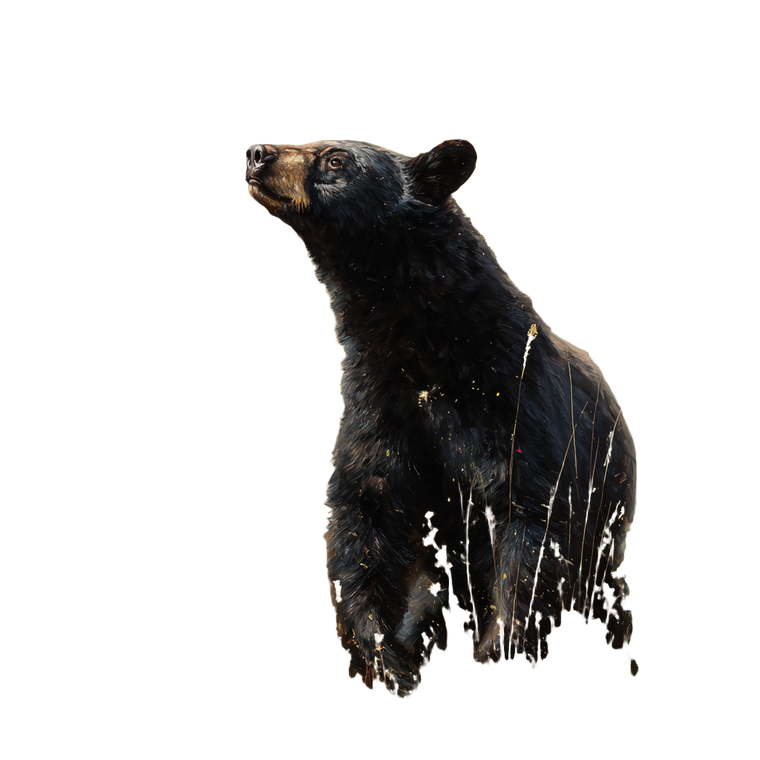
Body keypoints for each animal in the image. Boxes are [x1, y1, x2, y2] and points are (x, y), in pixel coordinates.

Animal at [243, 137, 640, 701]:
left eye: (336, 159)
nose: (257, 152)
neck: (424, 348)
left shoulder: (518, 408)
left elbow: (533, 530)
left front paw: (500, 651)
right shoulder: (380, 407)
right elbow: (362, 518)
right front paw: (385, 660)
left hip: (605, 544)